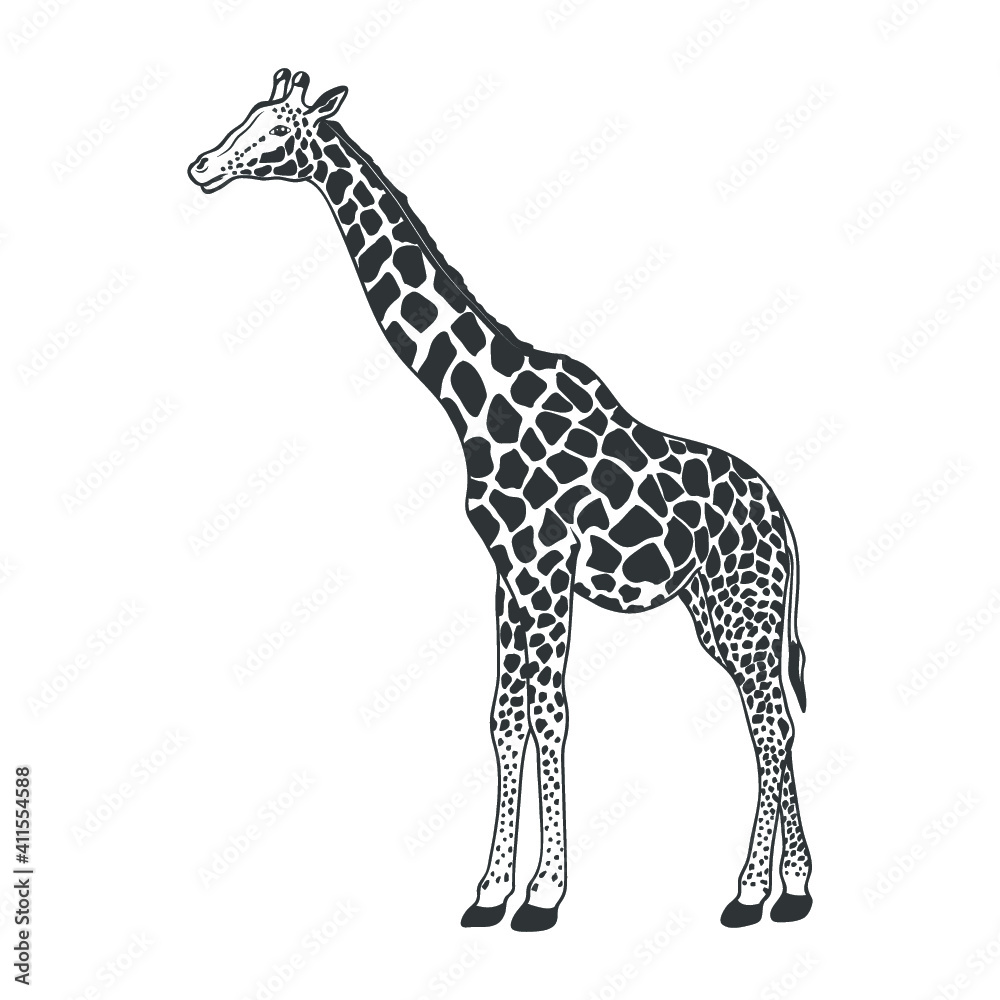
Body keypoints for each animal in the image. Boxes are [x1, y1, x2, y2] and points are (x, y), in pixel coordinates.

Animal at [189, 69, 814, 932]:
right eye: (248, 116)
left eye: (278, 131)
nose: (202, 167)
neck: (476, 401)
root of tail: (785, 519)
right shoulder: (507, 571)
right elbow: (502, 715)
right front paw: (489, 893)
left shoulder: (546, 567)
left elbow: (550, 712)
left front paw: (543, 896)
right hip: (715, 611)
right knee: (771, 723)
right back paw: (785, 888)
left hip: (744, 604)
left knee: (772, 722)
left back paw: (759, 892)